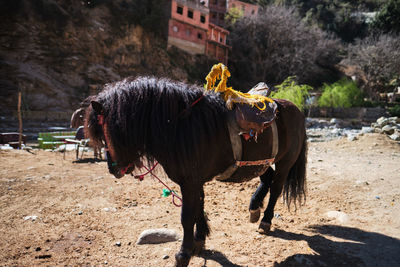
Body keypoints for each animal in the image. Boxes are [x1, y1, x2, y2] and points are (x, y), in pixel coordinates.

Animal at [86, 76, 308, 266]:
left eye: (110, 129)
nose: (113, 169)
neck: (181, 128)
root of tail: (296, 110)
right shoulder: (195, 181)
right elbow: (199, 208)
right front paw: (199, 241)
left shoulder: (190, 182)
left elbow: (187, 217)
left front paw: (183, 254)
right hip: (258, 163)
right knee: (267, 179)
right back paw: (254, 209)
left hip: (285, 163)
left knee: (276, 189)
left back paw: (265, 220)